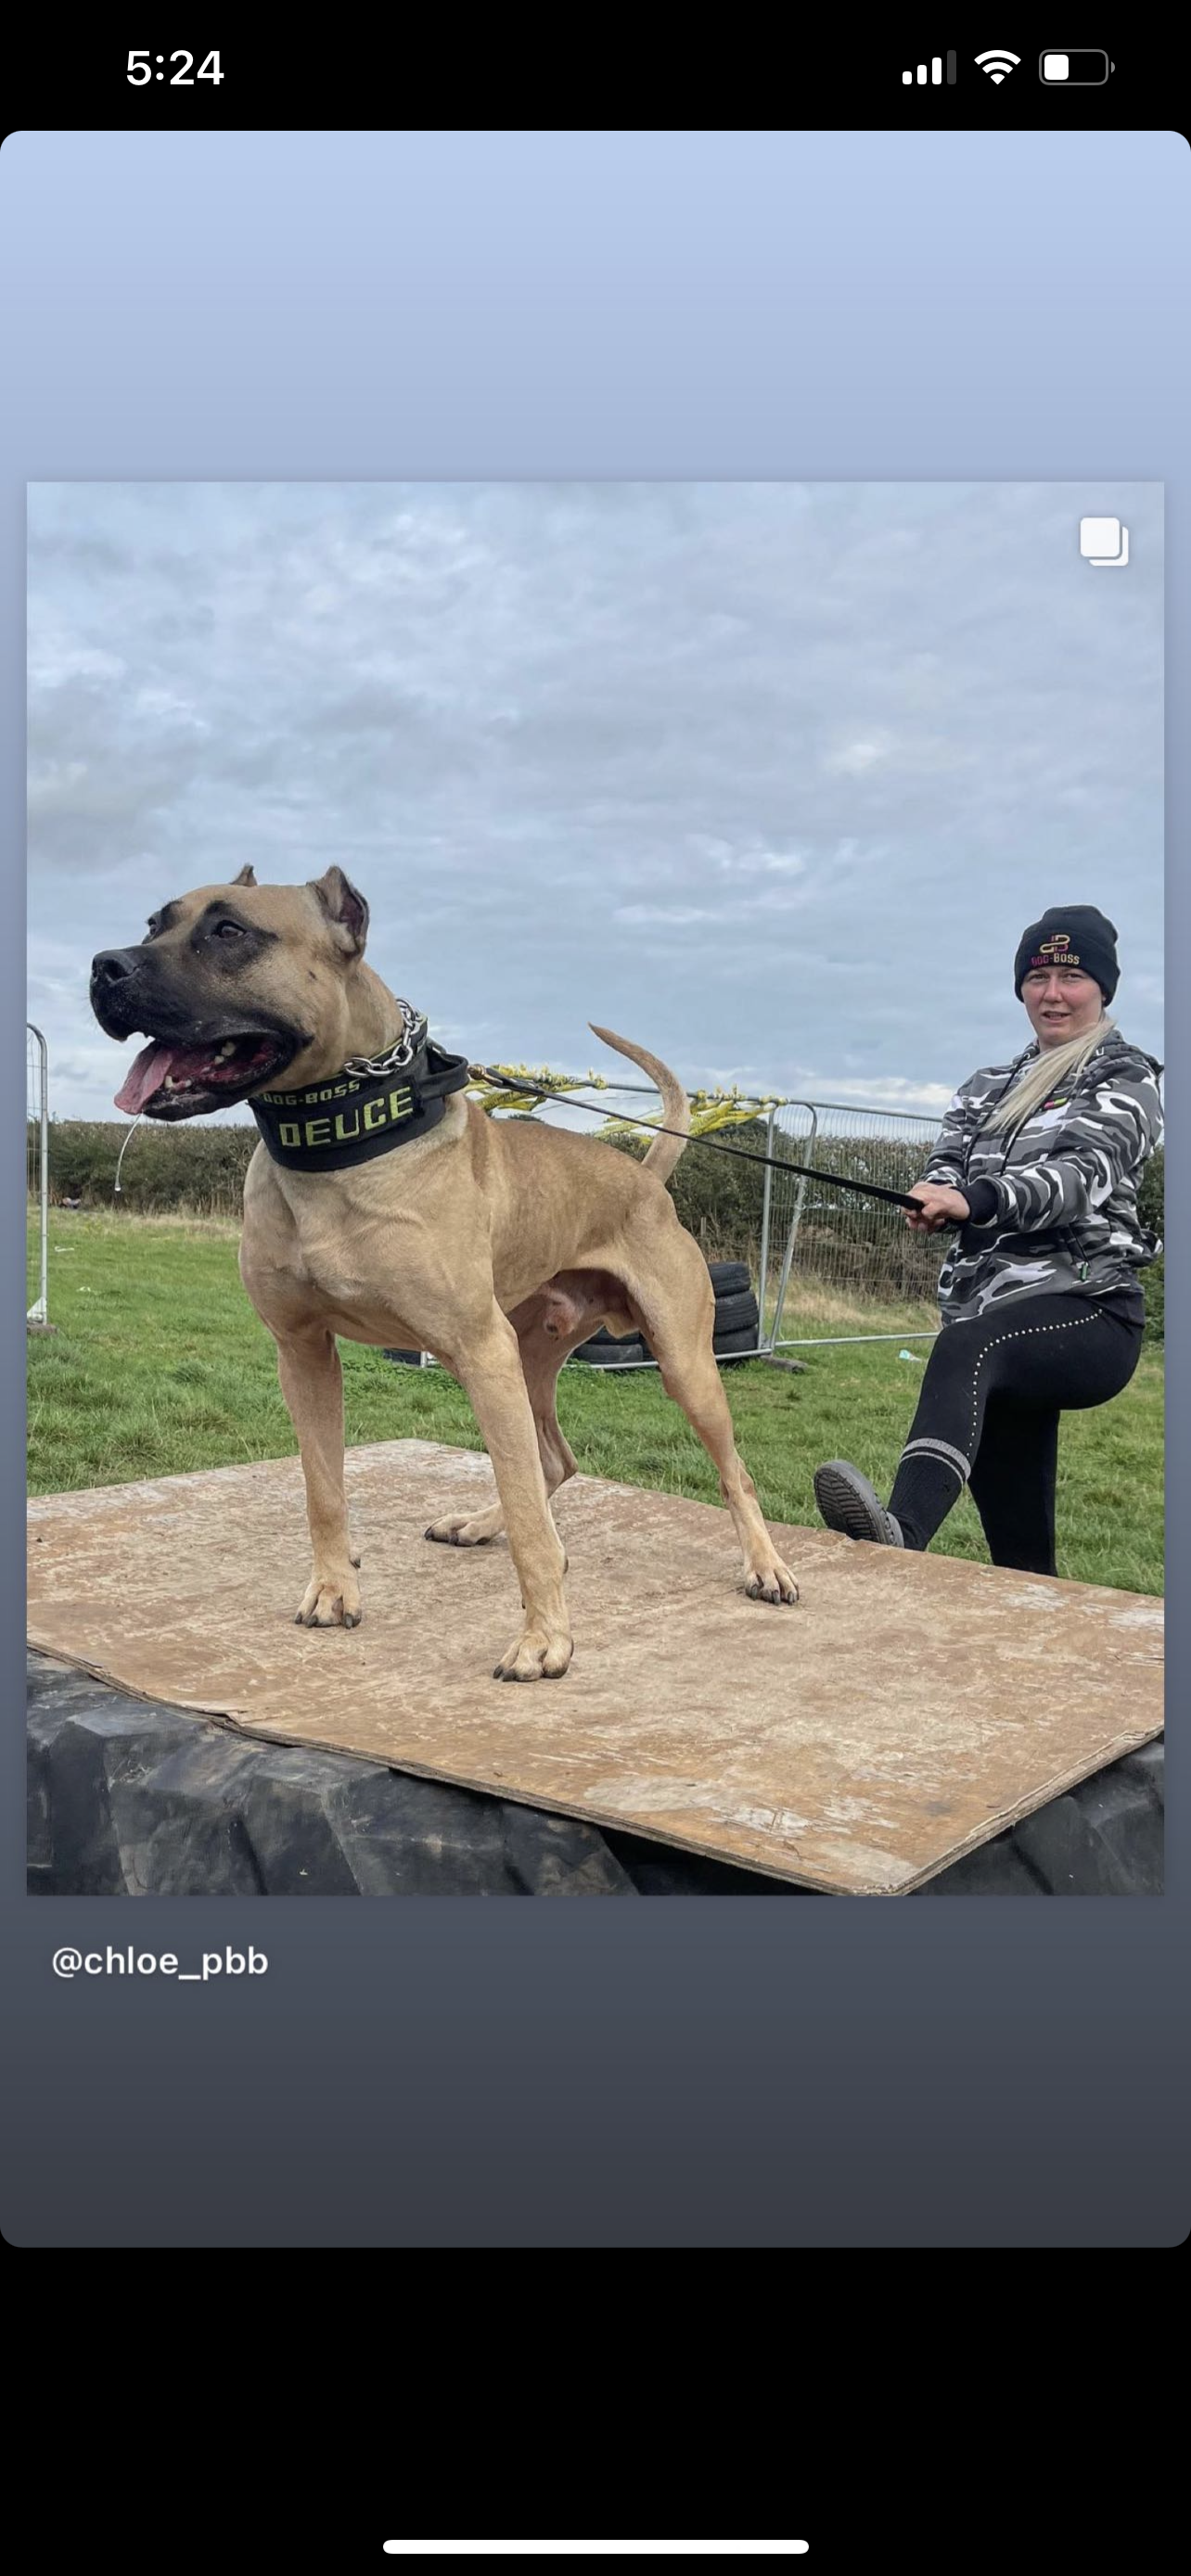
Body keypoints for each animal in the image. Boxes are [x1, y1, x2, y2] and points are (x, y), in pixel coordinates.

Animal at [90, 860, 799, 1669]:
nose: (103, 968)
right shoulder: (303, 1352)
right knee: (553, 1461)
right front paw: (333, 1590)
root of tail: (644, 1176)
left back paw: (766, 1567)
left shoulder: (479, 1351)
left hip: (675, 1364)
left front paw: (545, 1638)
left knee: (727, 1472)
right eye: (155, 924)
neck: (340, 1147)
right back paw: (481, 1523)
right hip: (526, 1357)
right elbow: (323, 1487)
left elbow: (529, 1519)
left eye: (230, 931)